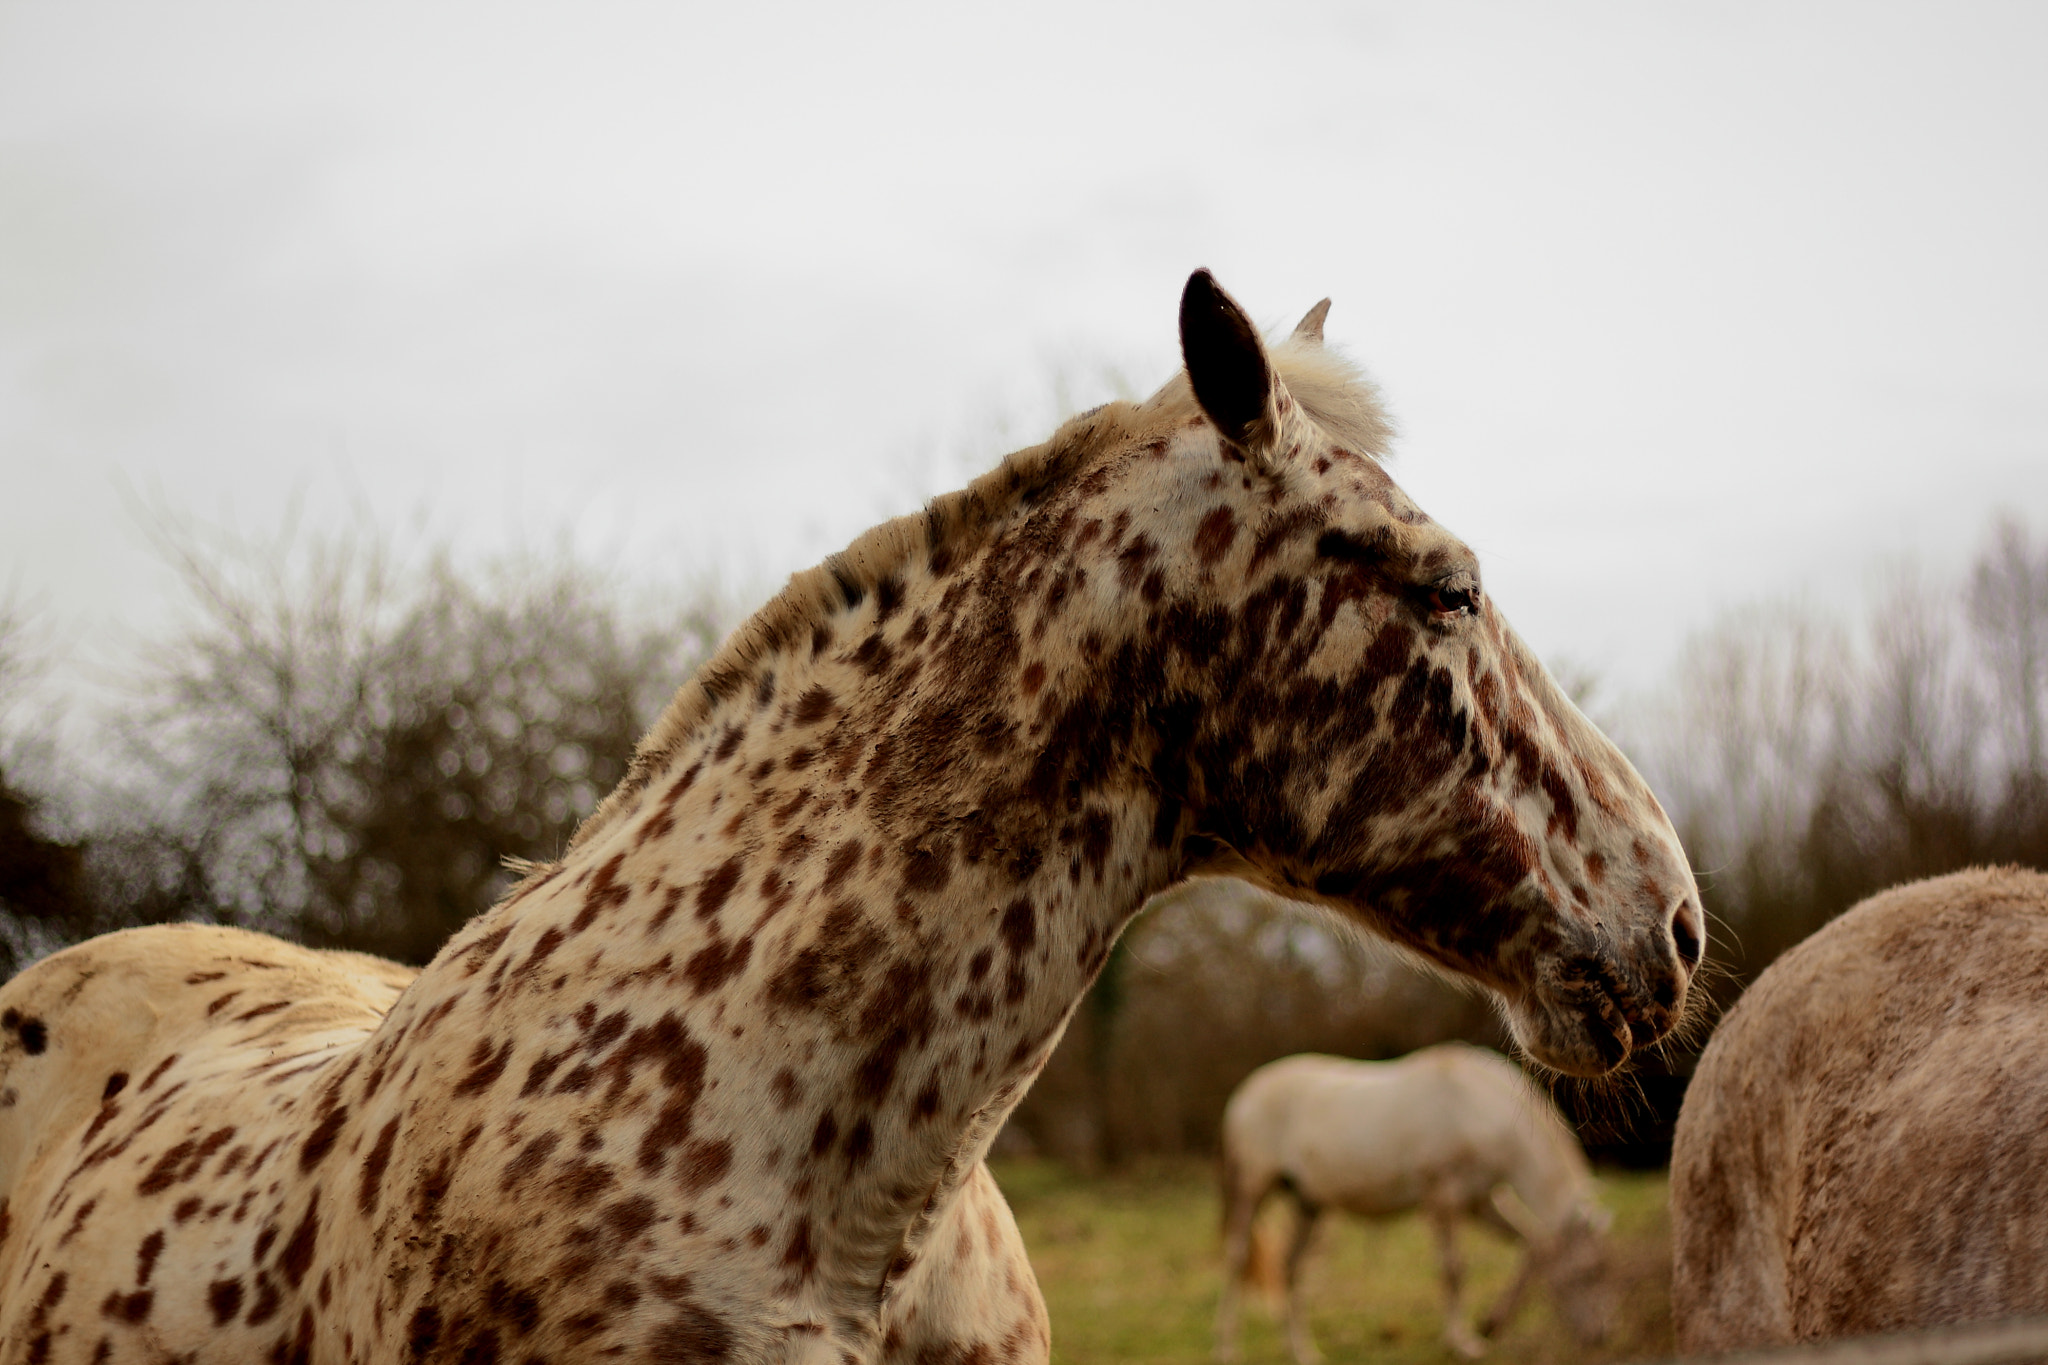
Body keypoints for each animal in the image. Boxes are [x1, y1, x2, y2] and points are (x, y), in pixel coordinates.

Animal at [1212, 1047, 1613, 1358]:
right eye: (1586, 1272)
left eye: (1601, 1271)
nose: (1599, 1337)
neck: (1474, 1106)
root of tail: (1246, 1094)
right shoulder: (1443, 1200)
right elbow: (1453, 1271)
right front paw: (1461, 1343)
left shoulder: (1480, 1202)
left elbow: (1536, 1247)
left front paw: (1490, 1326)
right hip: (1253, 1190)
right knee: (1236, 1260)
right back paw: (1228, 1349)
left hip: (1308, 1205)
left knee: (1290, 1269)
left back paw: (1303, 1352)